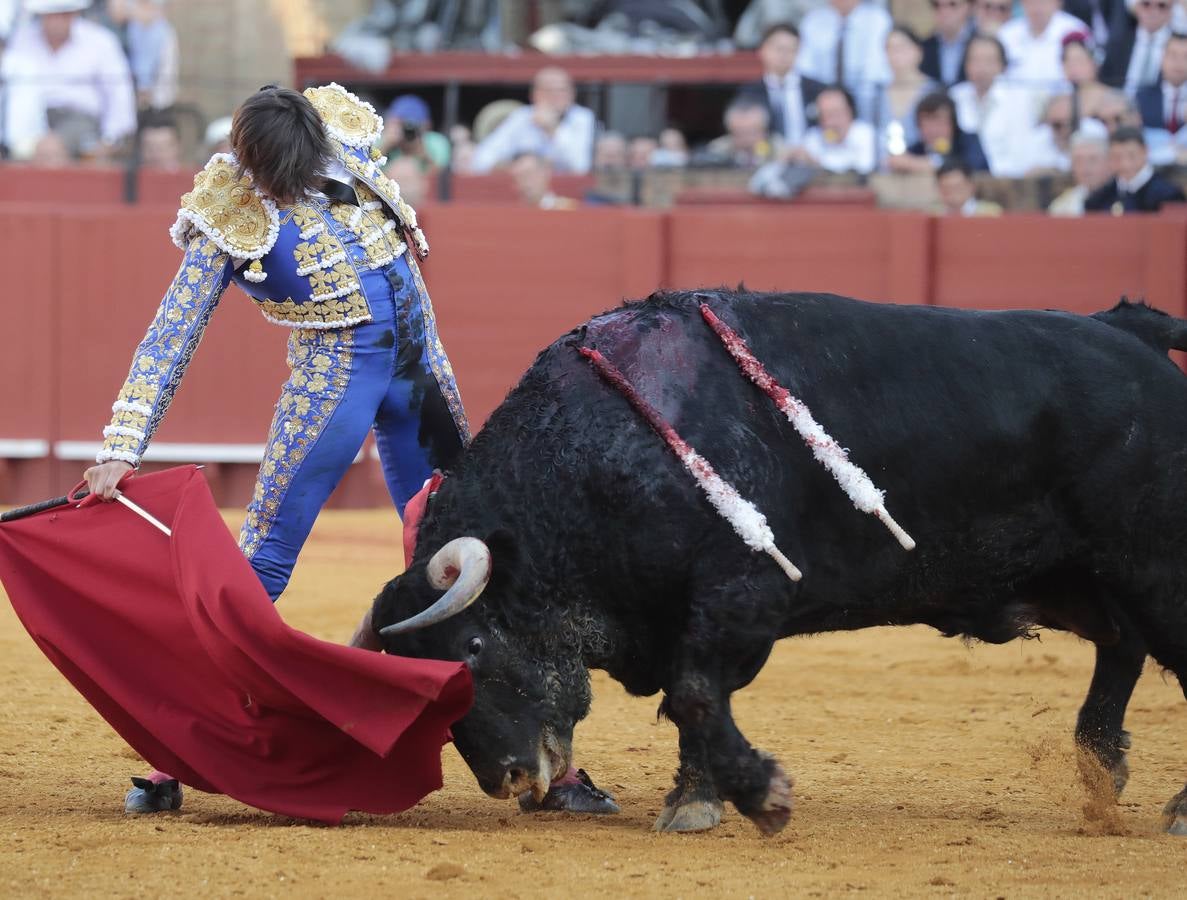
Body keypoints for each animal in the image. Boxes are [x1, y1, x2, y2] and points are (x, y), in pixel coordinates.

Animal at [367, 290, 1187, 840]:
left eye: (474, 645)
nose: (505, 779)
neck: (596, 455)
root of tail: (1126, 329)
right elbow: (688, 701)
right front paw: (697, 800)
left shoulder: (740, 595)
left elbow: (696, 694)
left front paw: (760, 797)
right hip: (1089, 575)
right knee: (1124, 647)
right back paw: (1100, 771)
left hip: (1151, 560)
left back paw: (1169, 807)